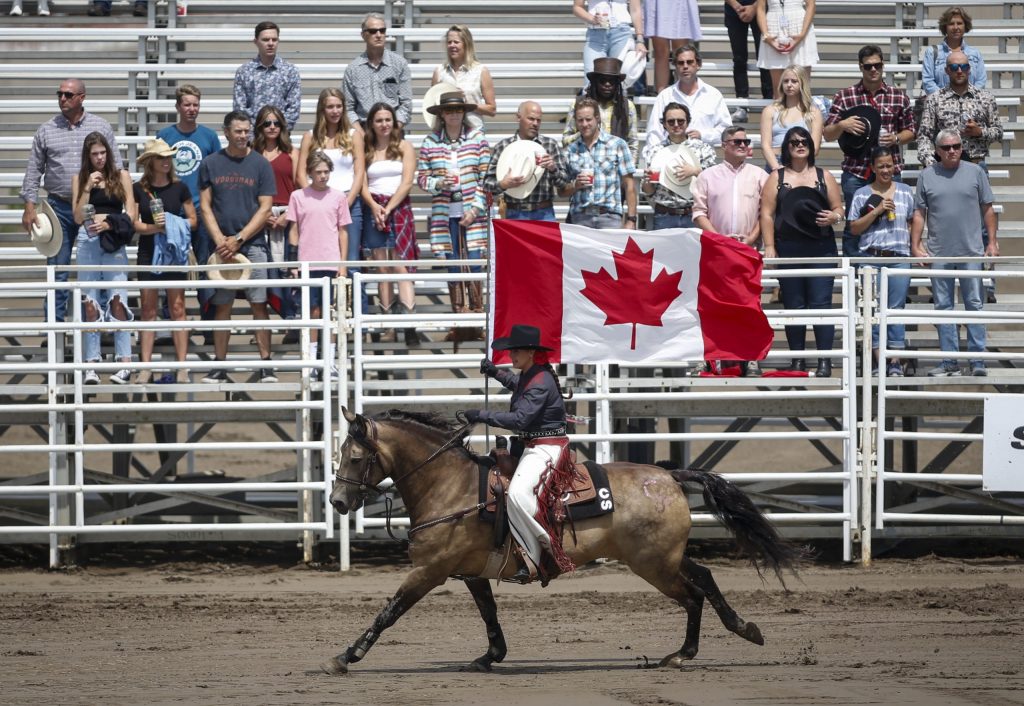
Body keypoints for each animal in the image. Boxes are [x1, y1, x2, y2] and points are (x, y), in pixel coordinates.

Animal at [323, 407, 802, 672]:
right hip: (665, 558)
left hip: (654, 565)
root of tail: (670, 476)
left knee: (693, 594)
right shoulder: (471, 573)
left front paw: (346, 656)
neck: (451, 486)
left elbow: (390, 612)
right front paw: (490, 657)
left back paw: (684, 653)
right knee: (703, 578)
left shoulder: (429, 571)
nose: (338, 501)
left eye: (357, 457)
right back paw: (742, 629)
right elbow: (489, 615)